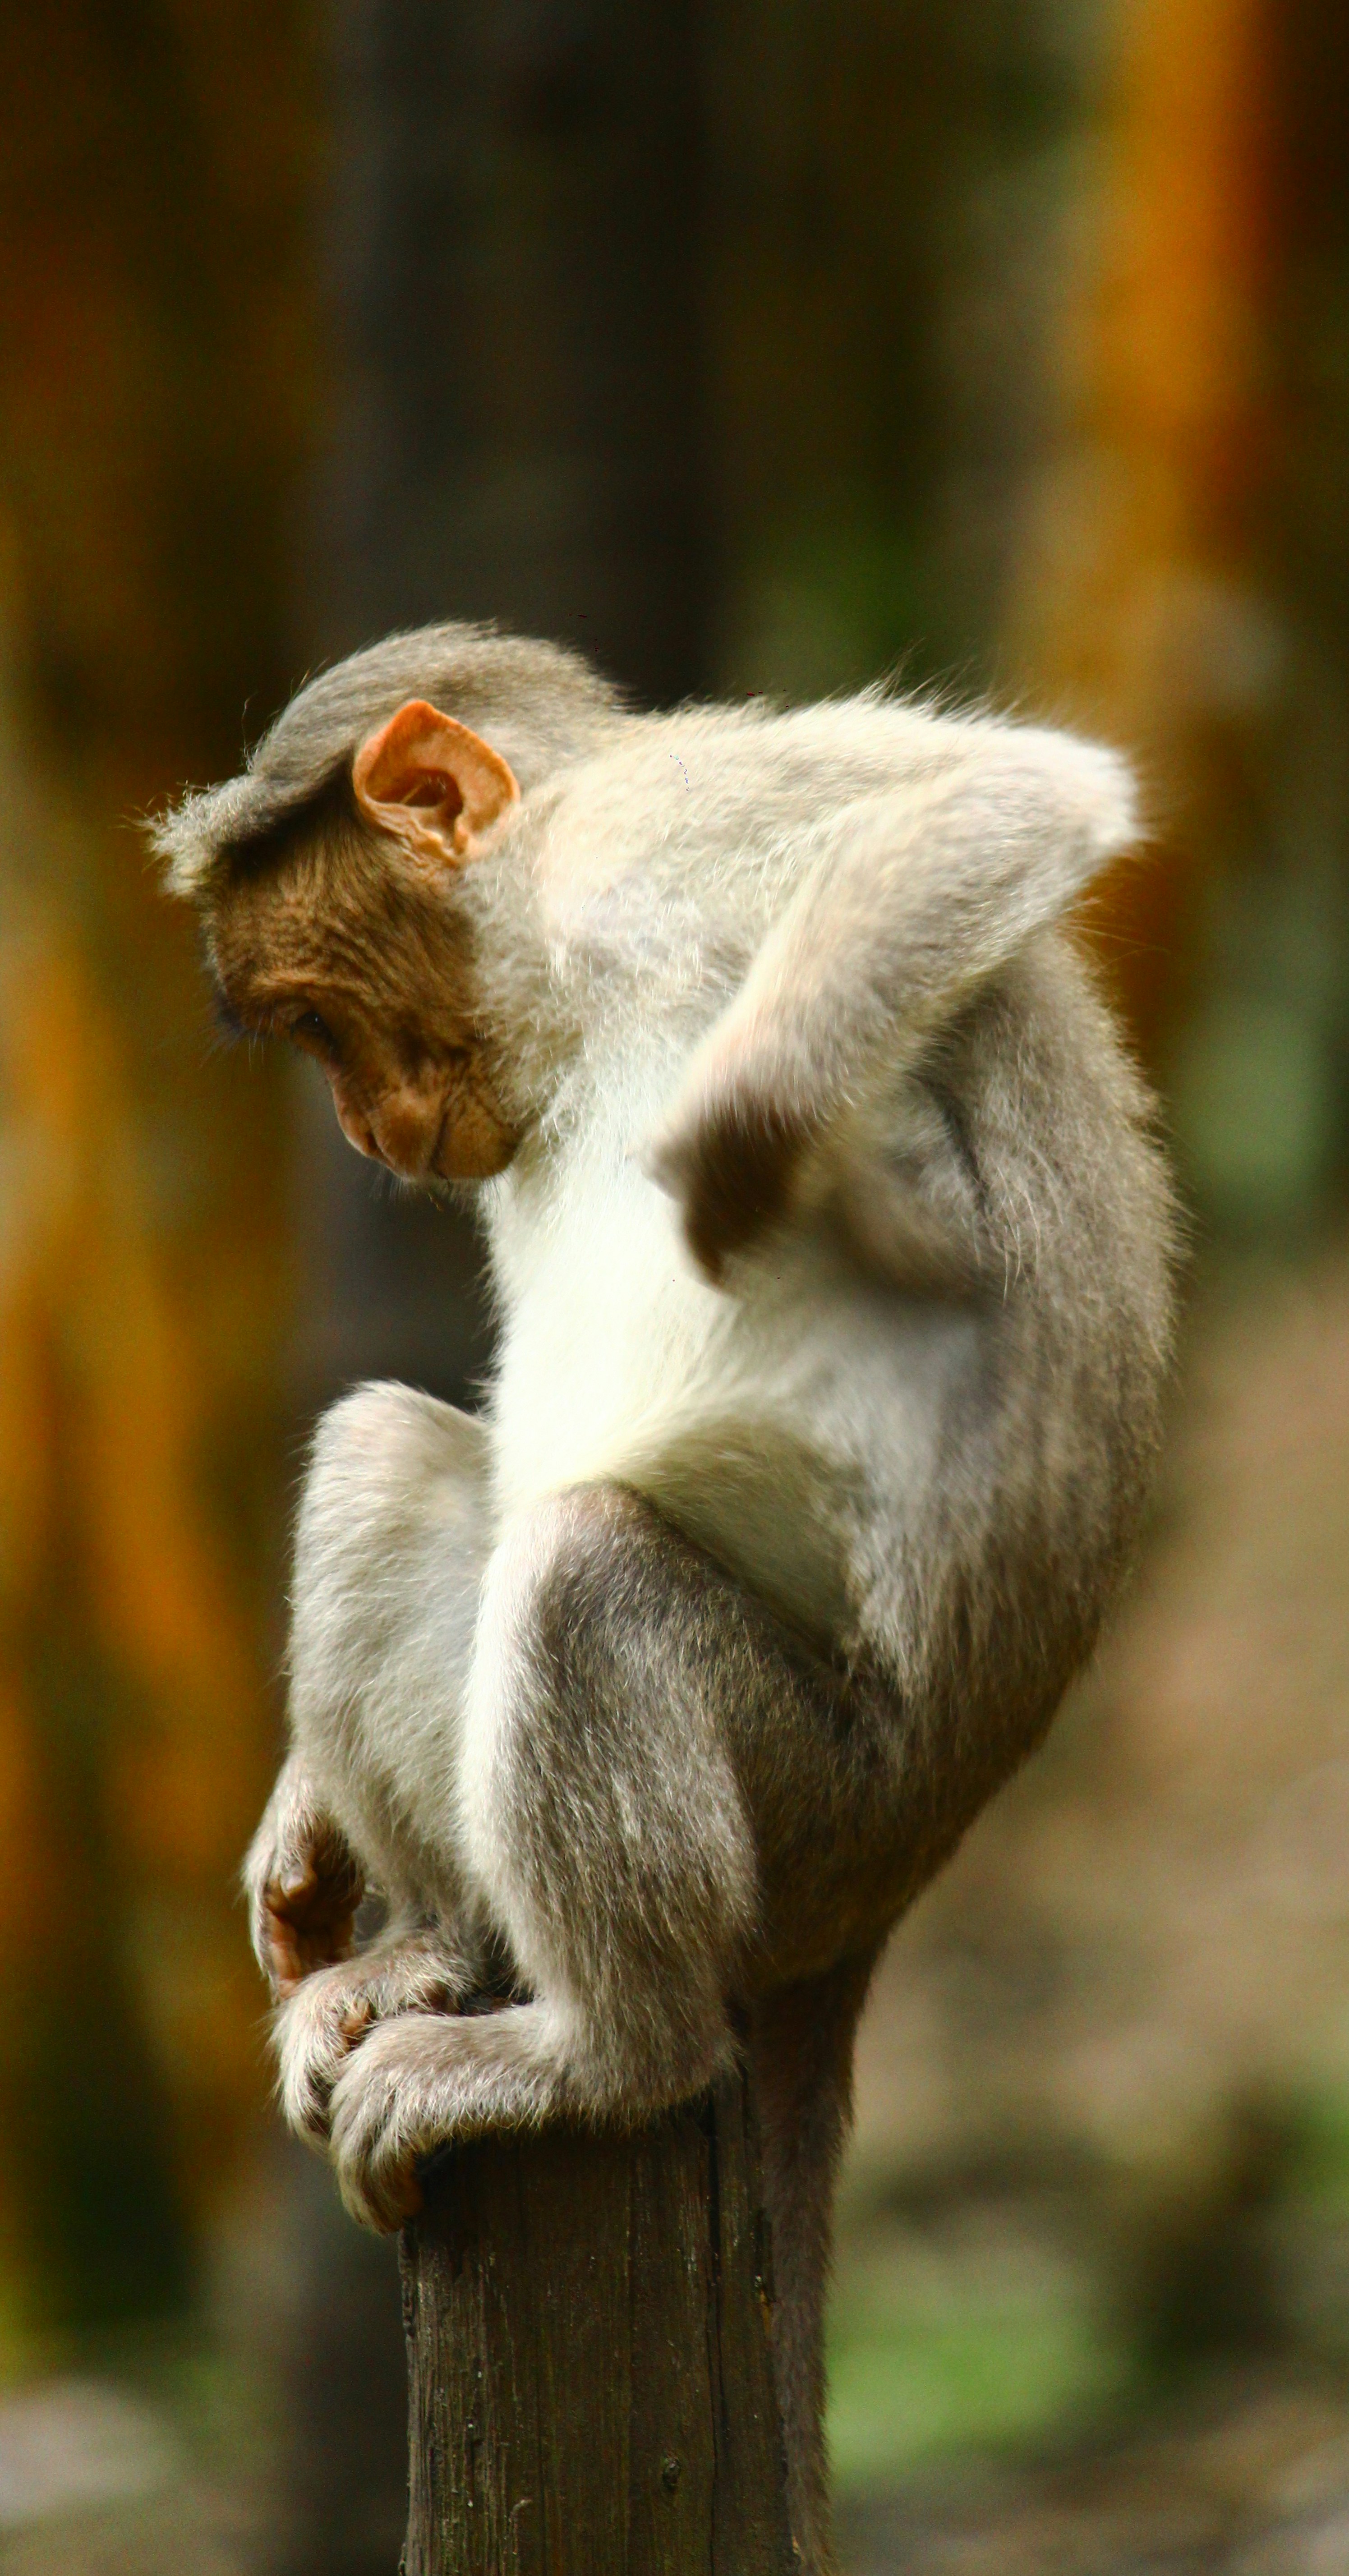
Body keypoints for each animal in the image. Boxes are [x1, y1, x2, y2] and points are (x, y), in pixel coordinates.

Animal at [155, 624, 1175, 2572]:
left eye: (314, 1014)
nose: (365, 1120)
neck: (549, 972)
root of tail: (880, 1907)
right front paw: (299, 1844)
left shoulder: (649, 847)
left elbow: (1008, 802)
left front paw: (740, 1153)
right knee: (390, 1458)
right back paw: (428, 1952)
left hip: (818, 1796)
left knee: (585, 1572)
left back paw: (600, 2052)